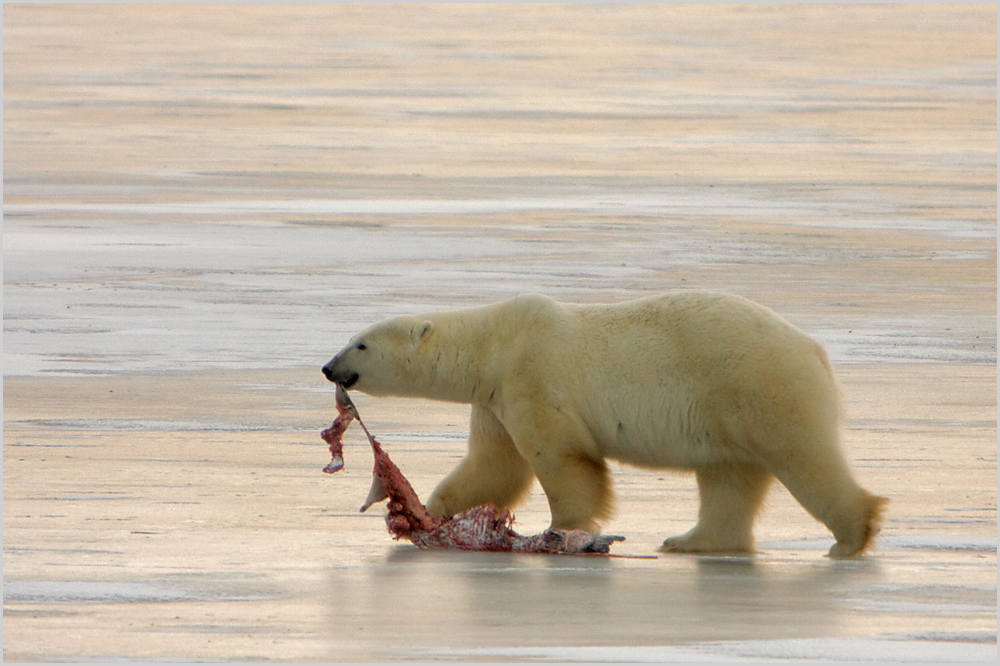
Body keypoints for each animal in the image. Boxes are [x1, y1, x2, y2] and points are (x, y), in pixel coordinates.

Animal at [324, 290, 888, 556]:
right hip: (726, 414)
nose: (329, 367)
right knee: (729, 479)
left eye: (361, 343)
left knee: (803, 458)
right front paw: (431, 513)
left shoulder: (533, 373)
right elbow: (493, 465)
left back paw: (852, 535)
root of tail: (814, 349)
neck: (494, 341)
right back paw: (689, 540)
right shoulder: (495, 398)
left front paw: (566, 529)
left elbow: (562, 459)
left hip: (756, 385)